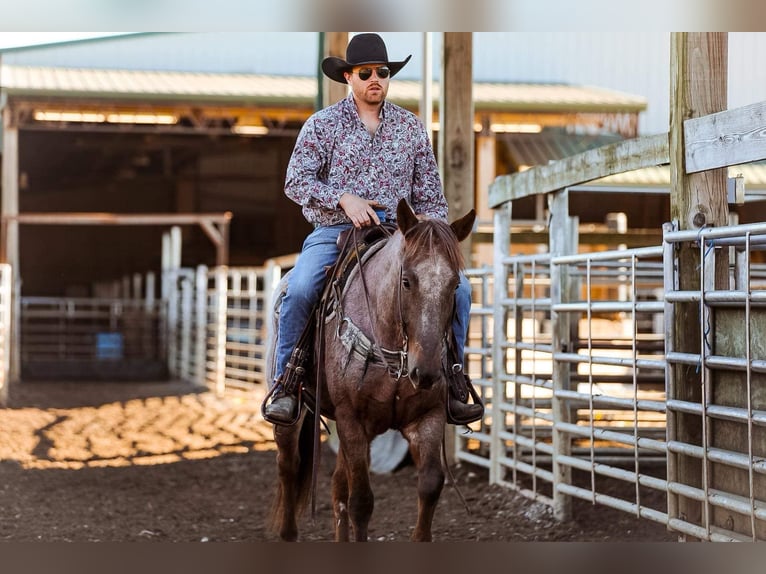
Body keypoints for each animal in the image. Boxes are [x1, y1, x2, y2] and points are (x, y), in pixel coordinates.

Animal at [268, 200, 476, 544]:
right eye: (407, 281)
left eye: (455, 284)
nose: (426, 372)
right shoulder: (352, 419)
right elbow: (361, 501)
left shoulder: (428, 416)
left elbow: (430, 485)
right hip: (294, 412)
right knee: (288, 464)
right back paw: (287, 534)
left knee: (337, 486)